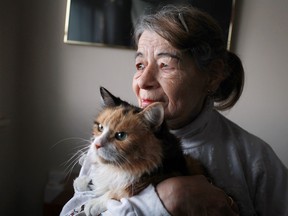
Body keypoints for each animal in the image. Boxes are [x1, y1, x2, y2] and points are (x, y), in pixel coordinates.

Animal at [74, 87, 205, 215]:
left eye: (121, 136)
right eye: (100, 127)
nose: (97, 144)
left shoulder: (168, 174)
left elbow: (120, 191)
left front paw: (94, 203)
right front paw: (84, 181)